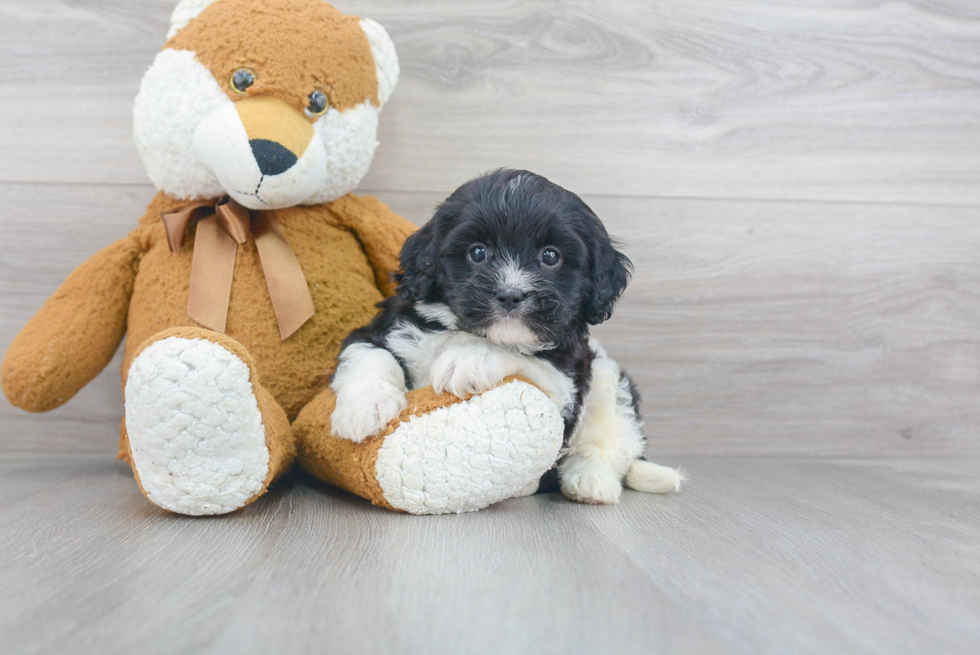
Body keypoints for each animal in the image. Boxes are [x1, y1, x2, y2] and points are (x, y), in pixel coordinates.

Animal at [330, 170, 680, 508]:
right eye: (478, 252)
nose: (511, 295)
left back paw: (590, 480)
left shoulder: (566, 381)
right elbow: (372, 353)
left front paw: (469, 358)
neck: (469, 329)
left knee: (609, 441)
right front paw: (366, 406)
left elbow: (522, 357)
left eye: (550, 256)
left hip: (607, 380)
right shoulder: (384, 328)